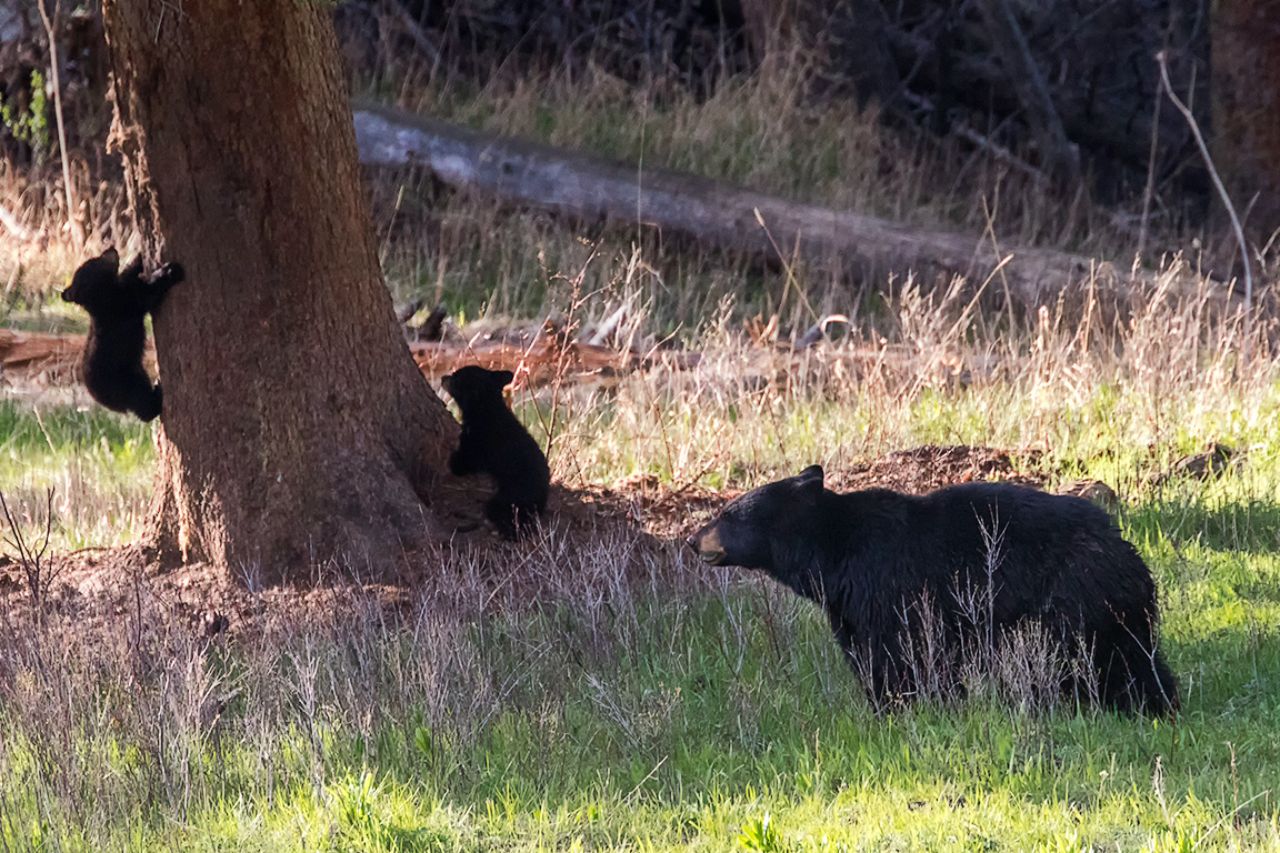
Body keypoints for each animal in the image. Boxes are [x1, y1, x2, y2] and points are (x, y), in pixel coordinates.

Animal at [60, 248, 185, 422]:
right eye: (96, 260)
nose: (111, 248)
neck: (101, 300)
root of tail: (103, 402)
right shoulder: (123, 305)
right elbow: (145, 295)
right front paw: (170, 271)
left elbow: (130, 273)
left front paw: (139, 256)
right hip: (124, 383)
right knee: (142, 403)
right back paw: (158, 391)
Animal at [441, 365, 551, 538]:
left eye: (455, 378)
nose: (442, 378)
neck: (487, 409)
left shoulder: (475, 444)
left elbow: (461, 464)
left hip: (508, 497)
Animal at [687, 465, 1179, 715]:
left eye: (728, 513)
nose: (692, 540)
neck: (833, 553)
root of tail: (1130, 558)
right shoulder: (849, 605)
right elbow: (864, 652)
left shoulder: (887, 587)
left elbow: (897, 655)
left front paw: (901, 707)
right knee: (1136, 658)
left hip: (1071, 601)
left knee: (1088, 659)